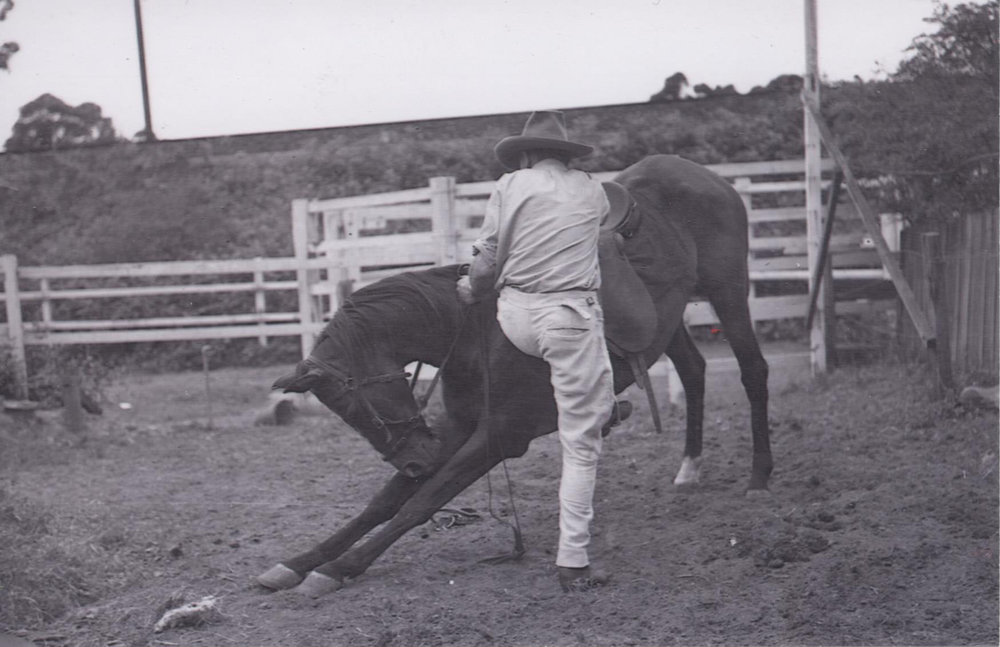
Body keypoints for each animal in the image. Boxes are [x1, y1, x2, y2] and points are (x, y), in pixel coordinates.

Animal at [258, 154, 772, 597]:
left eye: (357, 406)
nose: (415, 462)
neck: (477, 332)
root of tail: (700, 174)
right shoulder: (454, 429)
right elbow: (383, 503)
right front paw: (302, 562)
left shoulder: (500, 435)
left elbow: (421, 503)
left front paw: (341, 567)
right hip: (668, 324)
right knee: (694, 371)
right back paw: (689, 470)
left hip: (728, 291)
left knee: (753, 372)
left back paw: (759, 477)